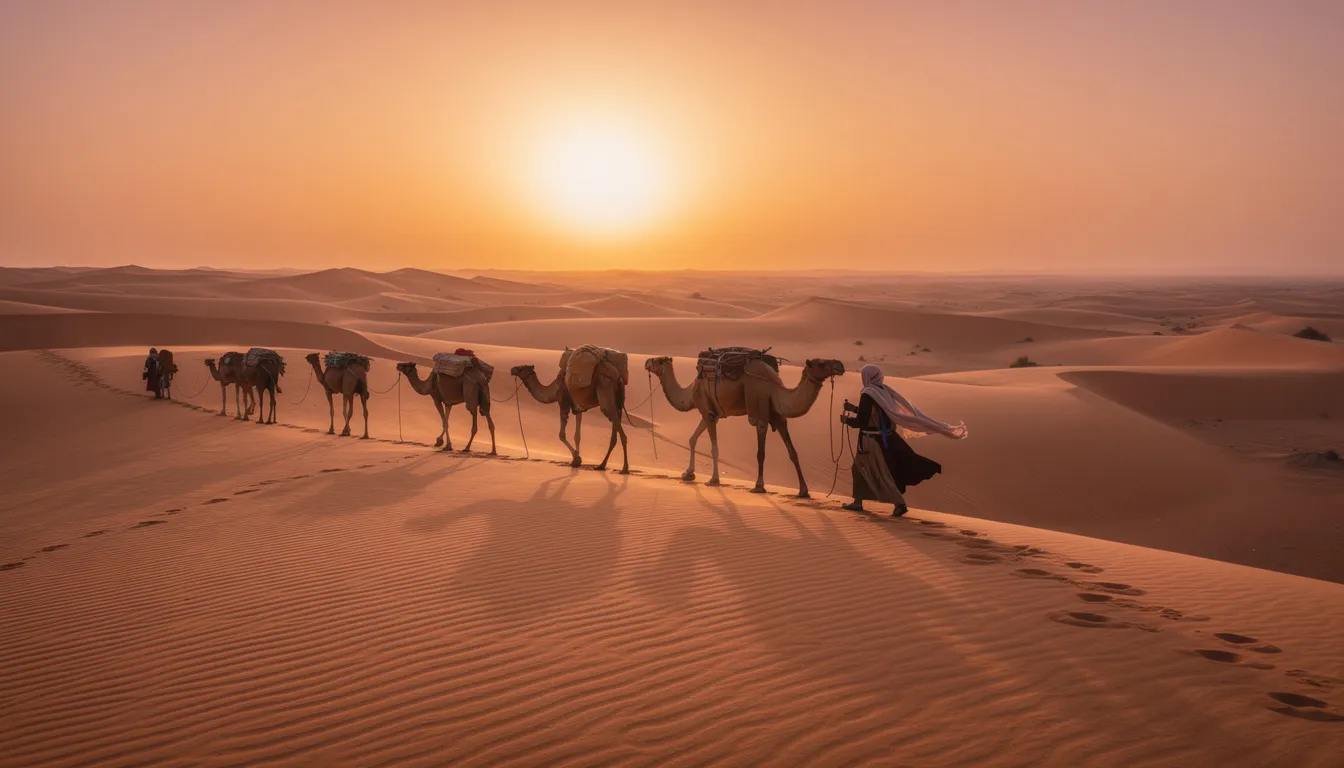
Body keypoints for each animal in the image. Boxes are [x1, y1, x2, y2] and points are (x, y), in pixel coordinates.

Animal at [644, 354, 845, 497]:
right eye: (822, 363)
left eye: (658, 360)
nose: (647, 362)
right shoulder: (711, 412)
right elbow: (692, 439)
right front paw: (688, 473)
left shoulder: (757, 415)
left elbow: (755, 453)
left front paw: (720, 480)